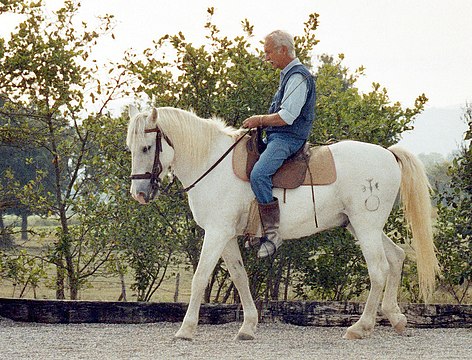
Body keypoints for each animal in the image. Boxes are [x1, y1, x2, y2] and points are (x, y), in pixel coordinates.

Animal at [125, 106, 438, 340]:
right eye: (131, 148)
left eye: (147, 147)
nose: (138, 194)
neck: (212, 163)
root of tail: (388, 154)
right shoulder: (226, 236)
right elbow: (240, 277)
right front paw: (248, 326)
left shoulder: (216, 233)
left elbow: (200, 277)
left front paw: (186, 330)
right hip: (360, 226)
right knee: (397, 257)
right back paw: (396, 318)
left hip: (366, 226)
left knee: (379, 269)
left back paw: (360, 327)